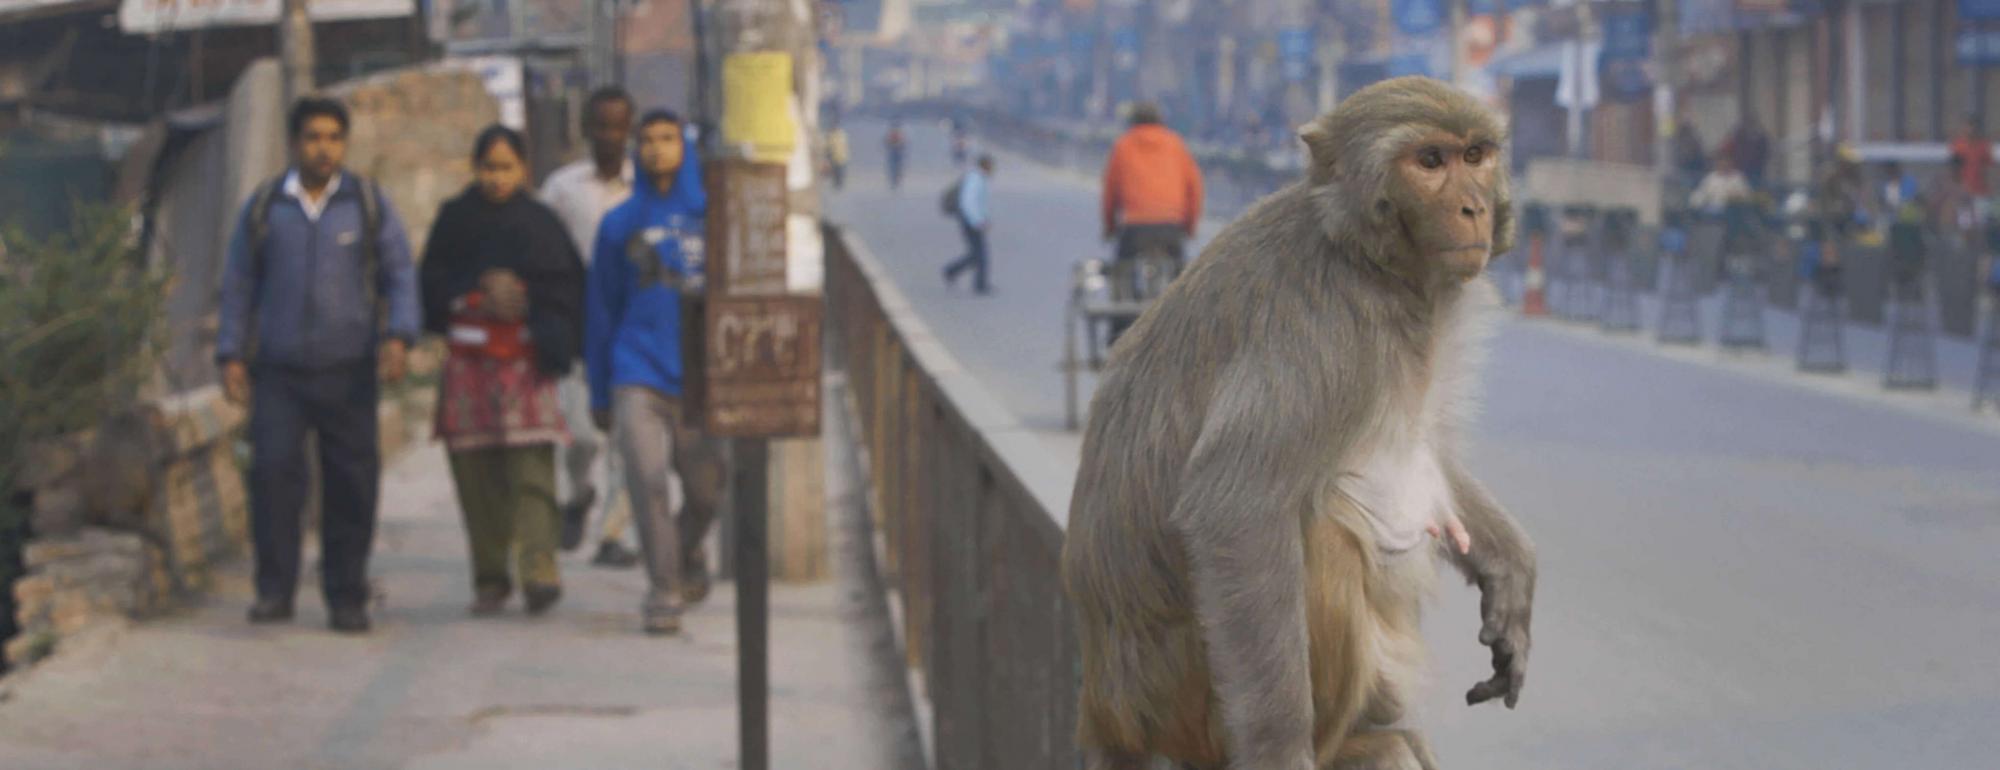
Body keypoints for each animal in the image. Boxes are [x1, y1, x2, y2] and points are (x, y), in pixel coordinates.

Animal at [1060, 77, 1537, 770]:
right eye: (1429, 162)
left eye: (1475, 154)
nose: (1473, 207)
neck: (1369, 259)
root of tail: (1109, 714)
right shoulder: (1327, 333)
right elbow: (1236, 510)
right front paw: (1279, 747)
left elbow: (1430, 454)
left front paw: (1509, 568)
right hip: (1190, 712)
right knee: (1328, 543)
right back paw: (1359, 742)